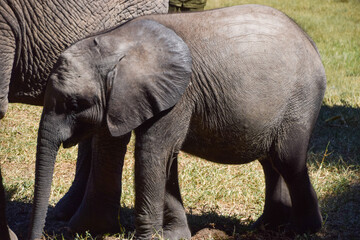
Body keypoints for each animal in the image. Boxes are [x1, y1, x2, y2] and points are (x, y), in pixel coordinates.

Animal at [28, 4, 326, 240]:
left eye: (74, 104)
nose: (42, 233)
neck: (118, 41)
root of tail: (311, 42)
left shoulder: (179, 94)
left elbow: (153, 151)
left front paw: (147, 238)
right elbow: (154, 155)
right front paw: (171, 235)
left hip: (301, 99)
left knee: (287, 159)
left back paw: (303, 230)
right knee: (270, 161)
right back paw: (268, 226)